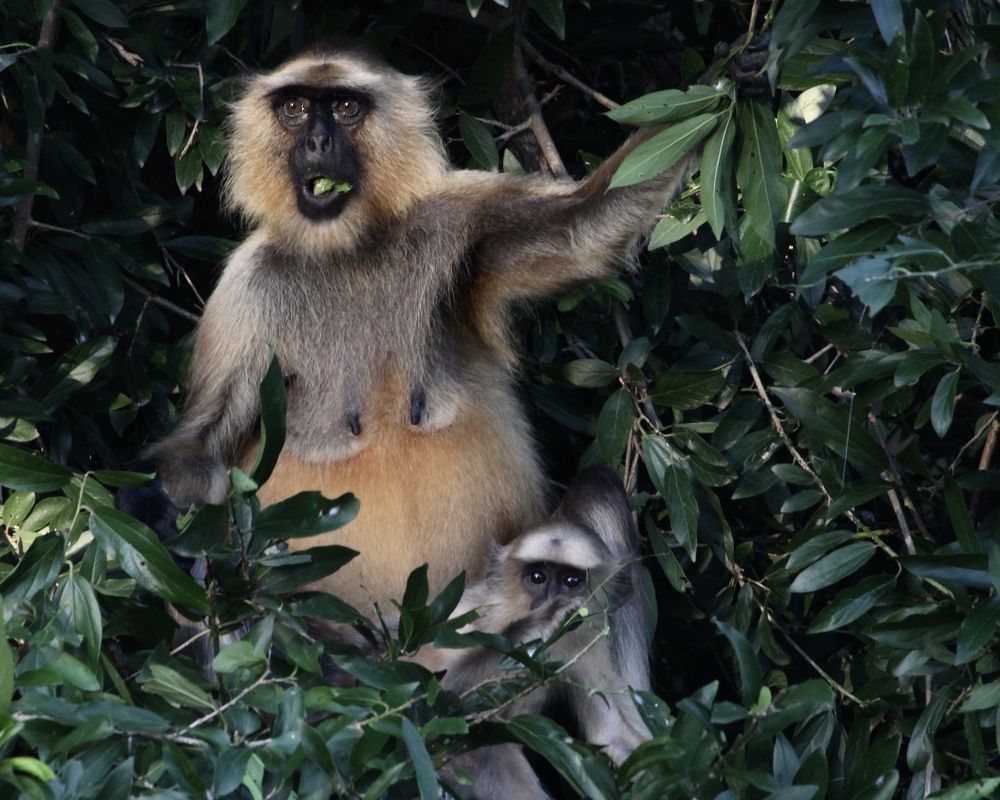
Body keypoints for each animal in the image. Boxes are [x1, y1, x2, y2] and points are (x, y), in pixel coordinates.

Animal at [119, 39, 695, 616]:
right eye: (296, 108)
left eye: (345, 107)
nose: (318, 140)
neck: (346, 254)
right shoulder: (246, 290)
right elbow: (199, 446)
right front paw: (151, 509)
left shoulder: (450, 219)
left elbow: (584, 226)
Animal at [407, 466, 649, 798]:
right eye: (537, 577)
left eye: (571, 581)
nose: (549, 600)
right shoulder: (470, 616)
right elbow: (433, 698)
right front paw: (539, 624)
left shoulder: (579, 642)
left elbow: (614, 734)